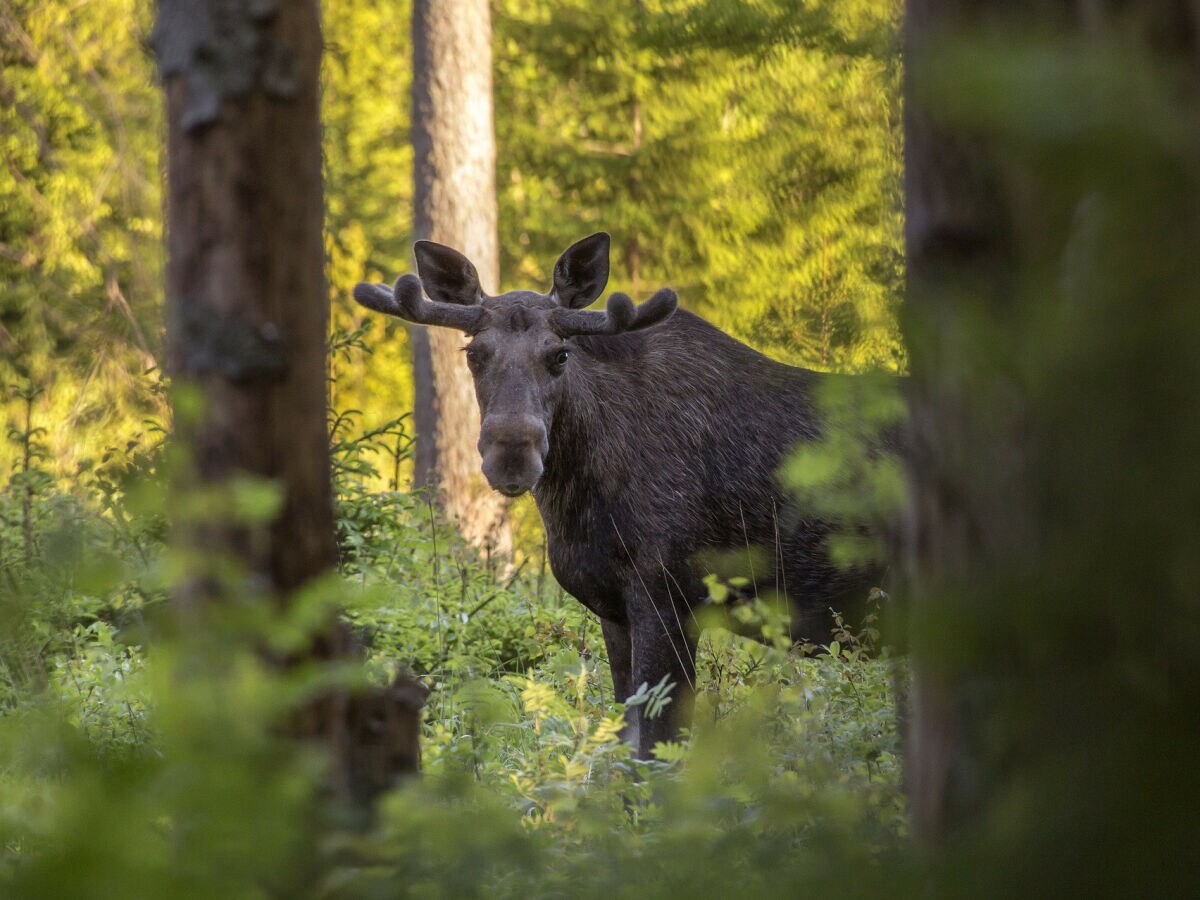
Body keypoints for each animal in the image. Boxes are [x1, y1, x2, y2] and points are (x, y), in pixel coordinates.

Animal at [350, 234, 888, 763]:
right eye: (473, 353)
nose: (511, 455)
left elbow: (654, 751)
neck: (578, 505)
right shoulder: (613, 607)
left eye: (560, 355)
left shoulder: (670, 593)